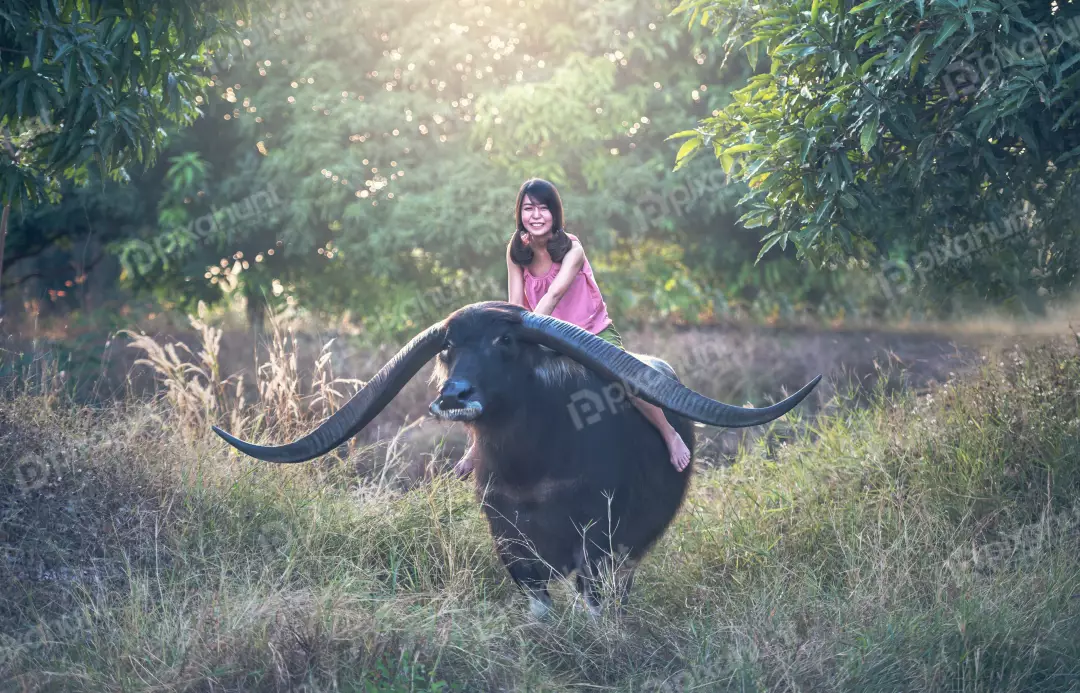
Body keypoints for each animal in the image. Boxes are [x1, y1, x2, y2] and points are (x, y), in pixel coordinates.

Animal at [210, 302, 816, 613]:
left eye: (504, 342)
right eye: (448, 347)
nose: (454, 394)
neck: (533, 467)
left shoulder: (598, 540)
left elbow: (592, 600)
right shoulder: (507, 535)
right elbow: (536, 601)